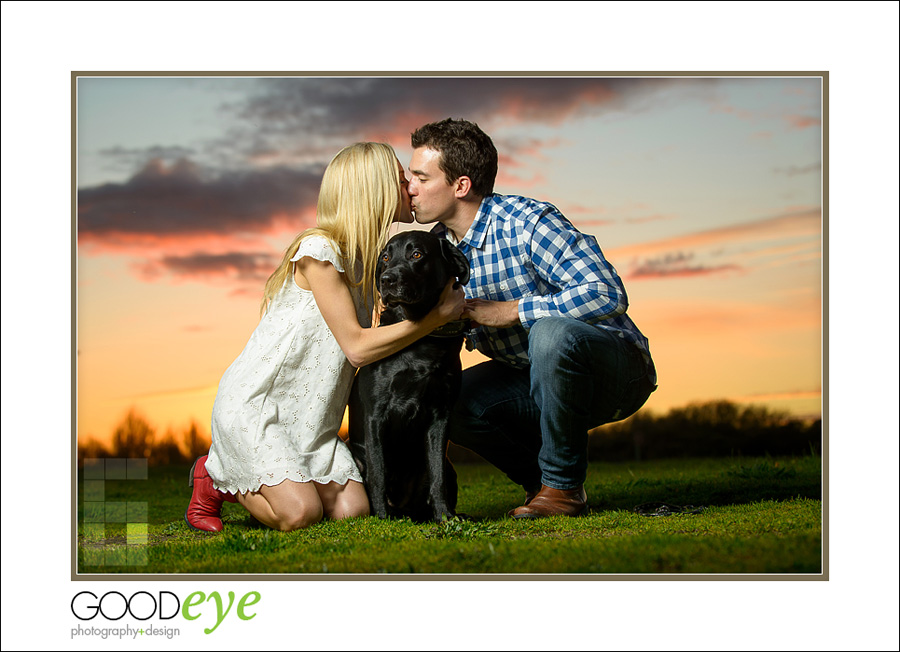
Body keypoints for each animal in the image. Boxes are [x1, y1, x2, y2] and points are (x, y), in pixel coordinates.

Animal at [346, 232, 472, 524]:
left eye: (417, 255)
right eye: (385, 257)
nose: (387, 280)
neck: (420, 341)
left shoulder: (440, 416)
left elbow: (437, 475)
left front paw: (445, 516)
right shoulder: (375, 414)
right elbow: (378, 473)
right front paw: (381, 517)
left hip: (449, 466)